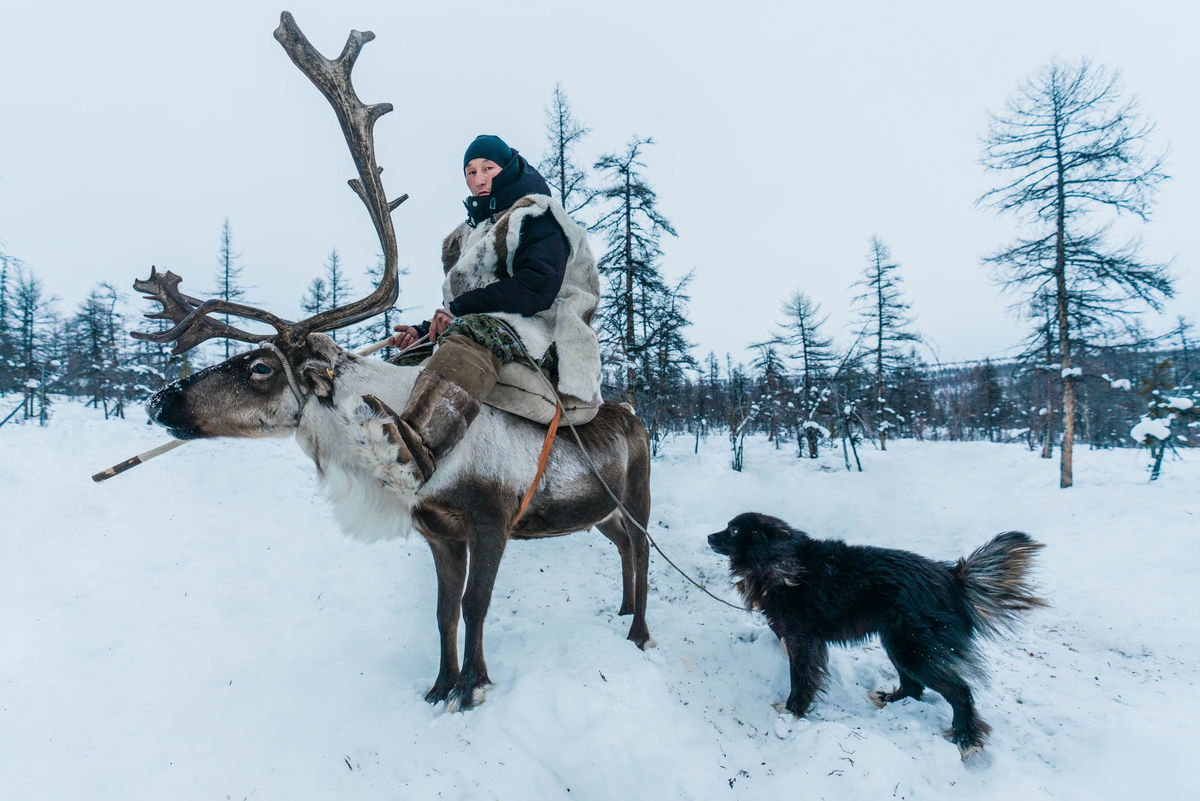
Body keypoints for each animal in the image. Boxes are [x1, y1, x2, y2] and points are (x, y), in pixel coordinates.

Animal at [705, 513, 1046, 757]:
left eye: (733, 531)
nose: (709, 535)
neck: (779, 561)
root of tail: (951, 578)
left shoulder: (803, 640)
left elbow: (800, 678)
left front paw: (791, 712)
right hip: (897, 643)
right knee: (914, 686)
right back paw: (891, 699)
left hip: (912, 648)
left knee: (959, 691)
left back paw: (965, 738)